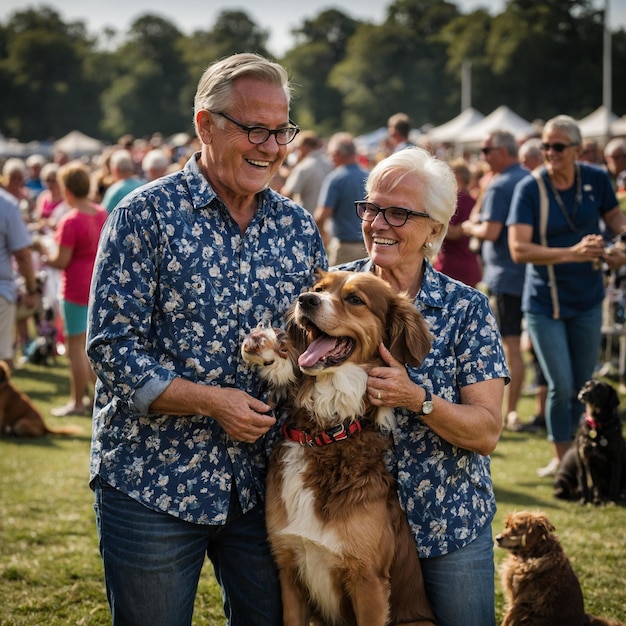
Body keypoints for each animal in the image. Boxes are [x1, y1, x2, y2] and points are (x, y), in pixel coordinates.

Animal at [241, 270, 436, 624]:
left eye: (355, 299)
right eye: (319, 288)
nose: (305, 299)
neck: (324, 435)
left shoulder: (369, 582)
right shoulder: (289, 569)